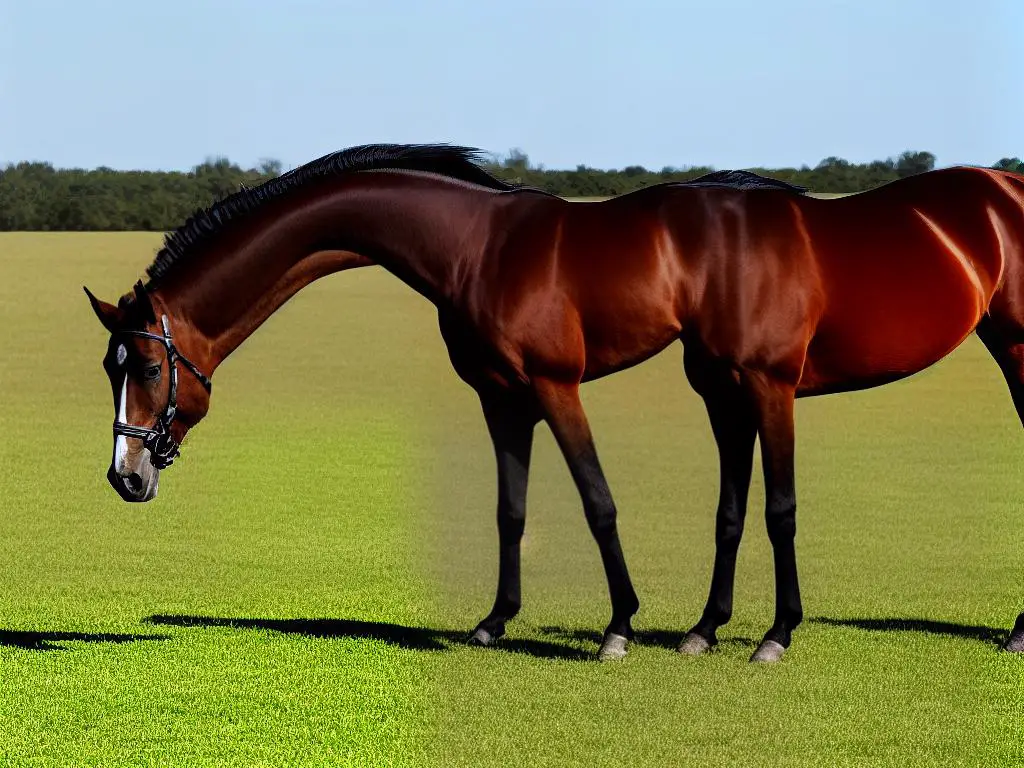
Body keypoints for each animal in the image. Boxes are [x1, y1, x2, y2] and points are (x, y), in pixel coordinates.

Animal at [86, 144, 1024, 663]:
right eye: (111, 365)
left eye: (146, 364)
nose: (125, 475)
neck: (473, 246)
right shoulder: (503, 400)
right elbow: (512, 509)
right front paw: (495, 622)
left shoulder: (554, 386)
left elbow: (599, 501)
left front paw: (623, 628)